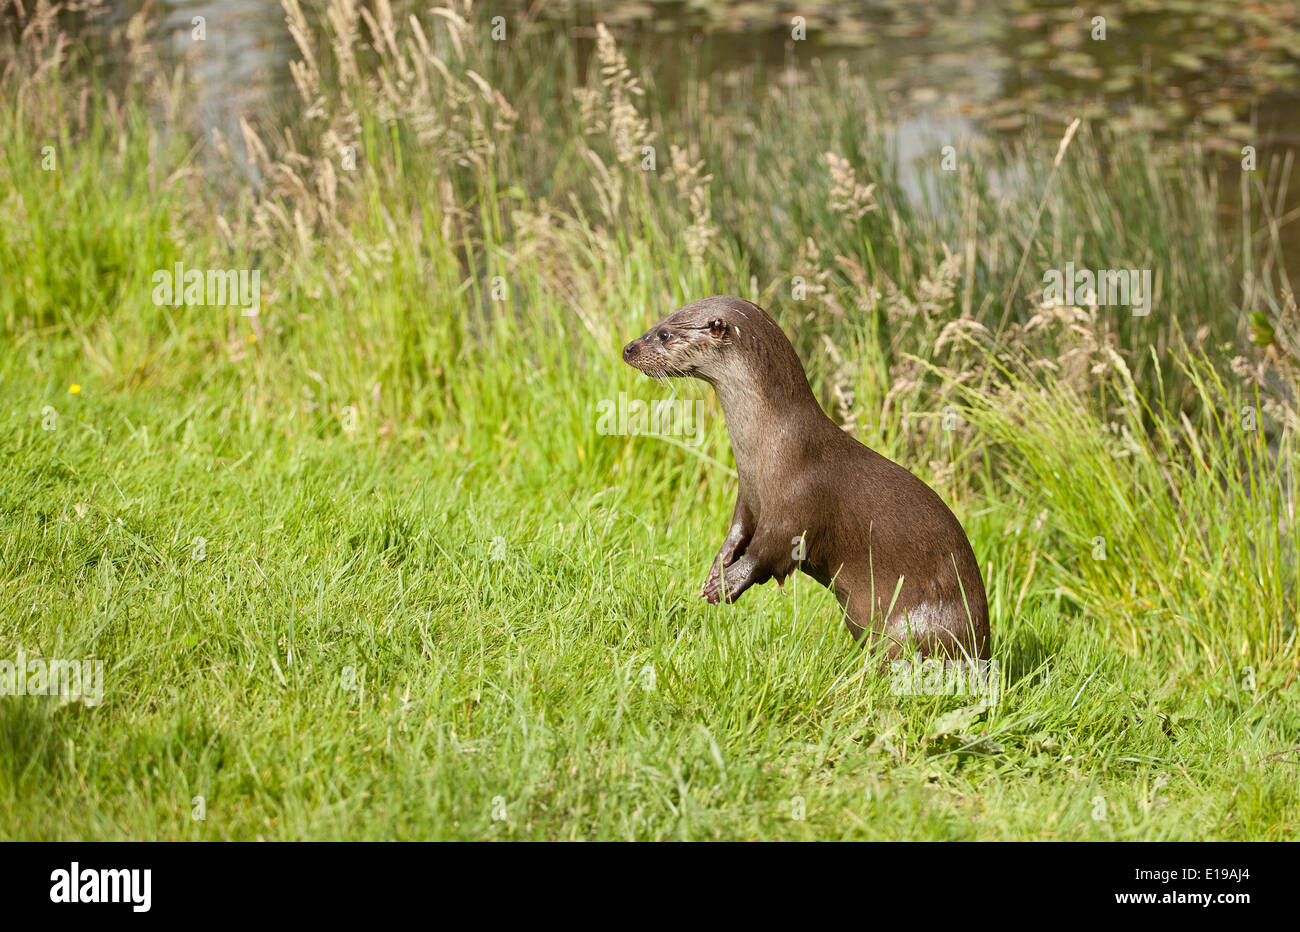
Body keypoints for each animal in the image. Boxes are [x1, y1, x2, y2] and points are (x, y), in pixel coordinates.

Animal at [622, 295, 989, 659]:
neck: (774, 445)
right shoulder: (748, 496)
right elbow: (737, 532)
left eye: (665, 334)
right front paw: (717, 567)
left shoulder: (795, 503)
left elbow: (768, 550)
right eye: (657, 323)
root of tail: (983, 646)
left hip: (915, 628)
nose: (628, 348)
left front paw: (726, 584)